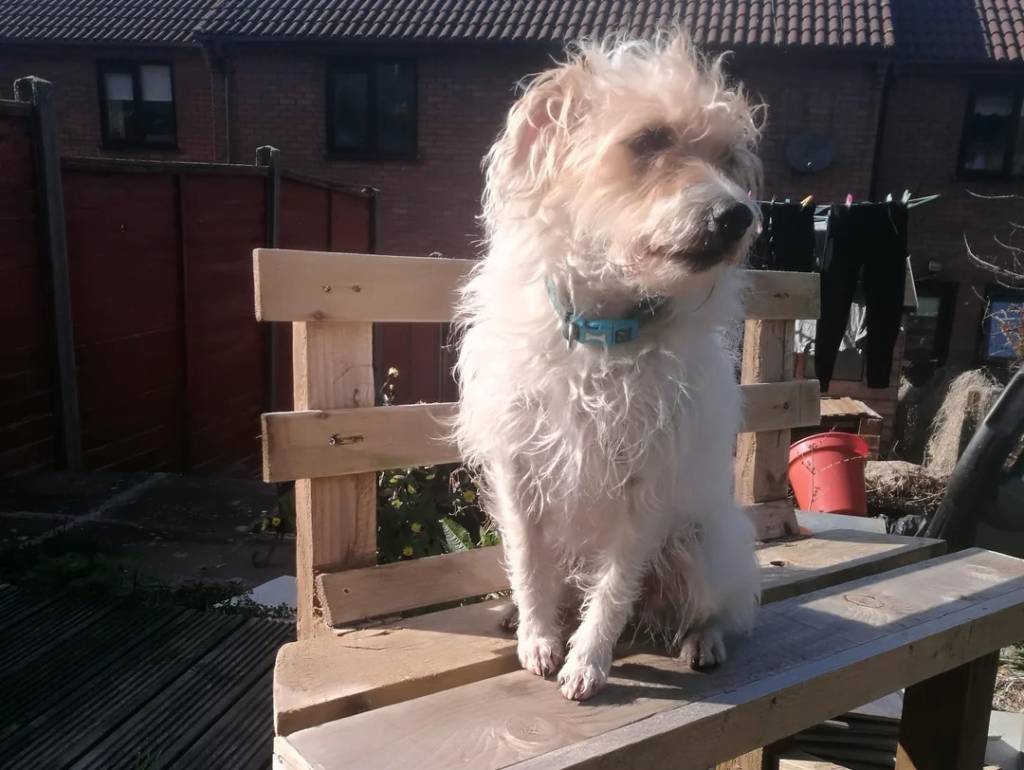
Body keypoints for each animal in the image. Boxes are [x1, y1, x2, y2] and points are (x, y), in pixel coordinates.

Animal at [454, 33, 763, 701]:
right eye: (648, 140)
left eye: (728, 158)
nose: (739, 216)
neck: (604, 333)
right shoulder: (517, 469)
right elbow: (528, 561)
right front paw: (538, 637)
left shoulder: (646, 488)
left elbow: (616, 586)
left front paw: (588, 661)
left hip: (702, 546)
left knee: (720, 606)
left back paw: (705, 638)